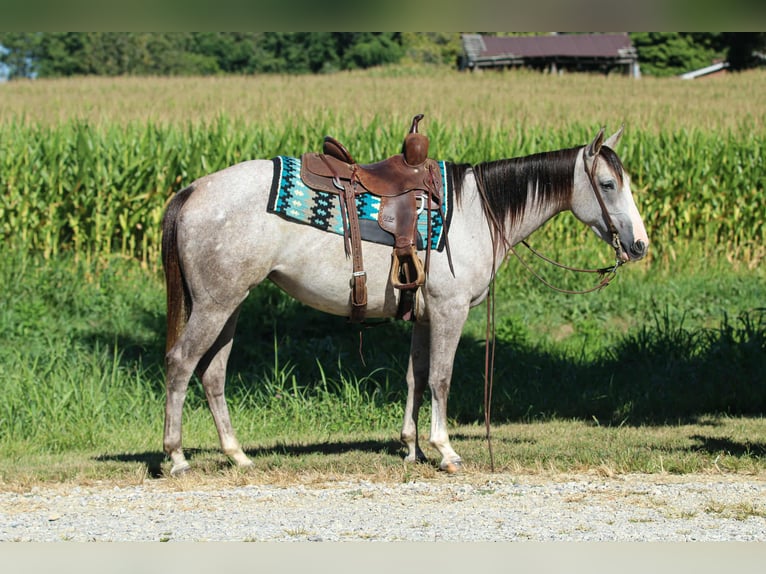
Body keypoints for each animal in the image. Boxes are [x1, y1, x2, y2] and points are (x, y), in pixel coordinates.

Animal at [161, 125, 649, 475]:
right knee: (182, 363)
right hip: (215, 306)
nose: (640, 245)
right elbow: (441, 379)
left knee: (213, 374)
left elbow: (415, 378)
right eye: (608, 184)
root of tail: (194, 190)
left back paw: (237, 455)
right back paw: (177, 457)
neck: (476, 212)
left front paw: (412, 448)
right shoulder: (450, 311)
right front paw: (445, 450)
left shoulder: (424, 316)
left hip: (231, 305)